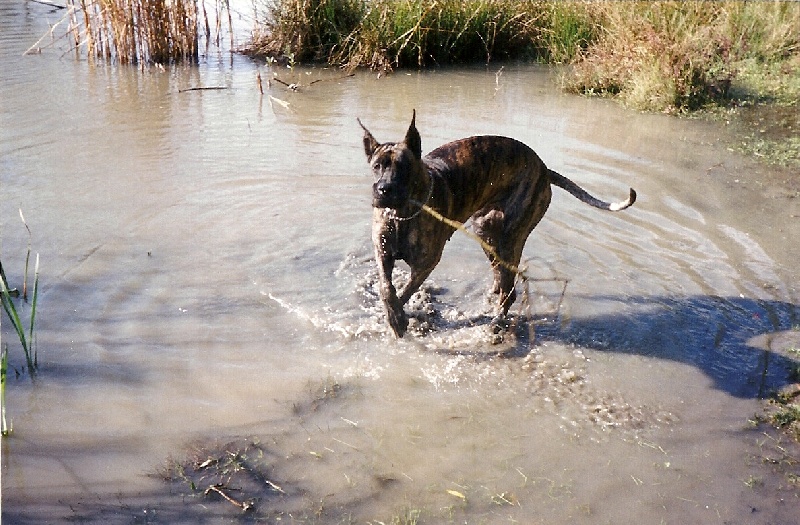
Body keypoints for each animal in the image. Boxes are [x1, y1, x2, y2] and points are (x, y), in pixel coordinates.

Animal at [360, 112, 636, 338]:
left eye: (404, 167)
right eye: (376, 166)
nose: (384, 190)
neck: (401, 214)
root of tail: (544, 169)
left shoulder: (426, 263)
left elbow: (406, 289)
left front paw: (399, 319)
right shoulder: (382, 251)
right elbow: (386, 287)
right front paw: (393, 314)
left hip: (507, 234)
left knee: (510, 289)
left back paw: (496, 323)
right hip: (486, 229)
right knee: (501, 276)